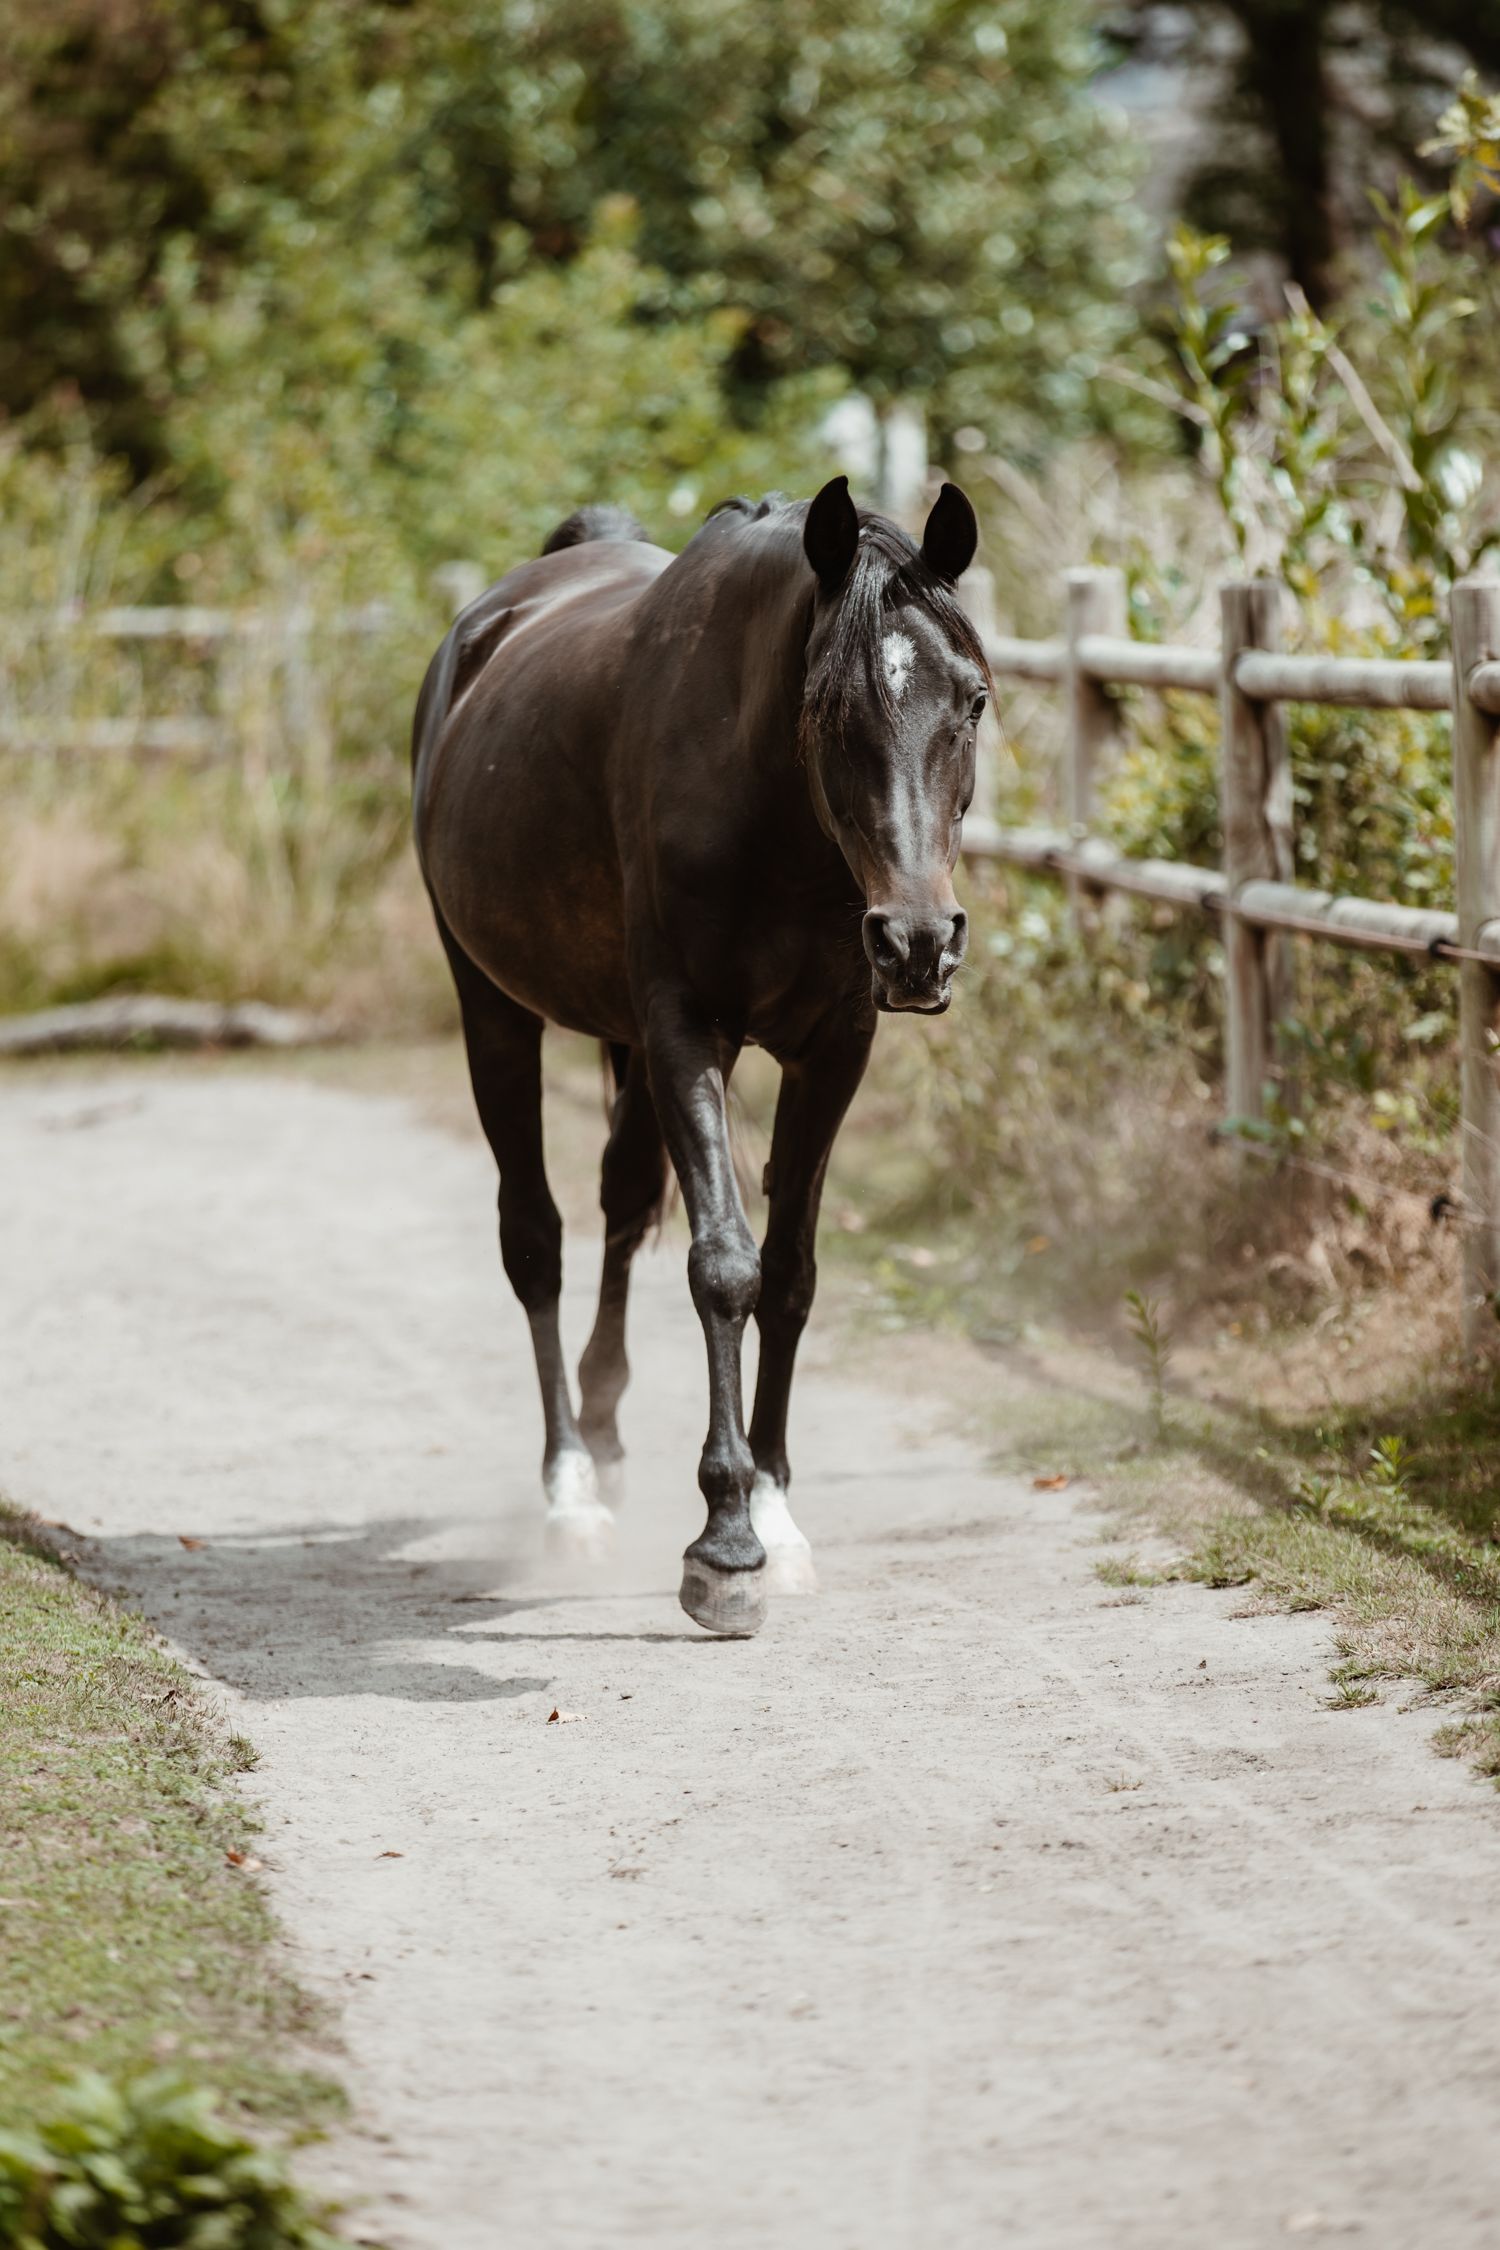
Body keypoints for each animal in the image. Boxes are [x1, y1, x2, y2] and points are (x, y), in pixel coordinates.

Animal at [411, 475, 988, 1636]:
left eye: (977, 701)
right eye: (829, 710)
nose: (918, 943)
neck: (775, 823)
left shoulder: (835, 1049)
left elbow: (792, 1275)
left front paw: (774, 1512)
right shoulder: (687, 1032)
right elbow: (724, 1265)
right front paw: (724, 1546)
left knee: (622, 1198)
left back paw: (605, 1435)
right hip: (493, 1009)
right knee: (534, 1240)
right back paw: (570, 1494)